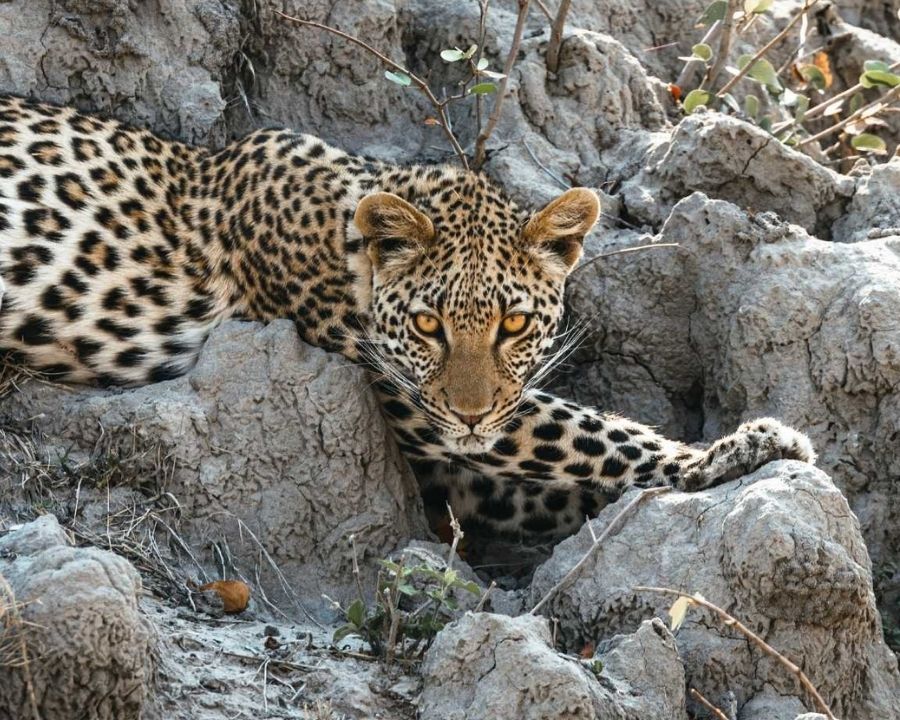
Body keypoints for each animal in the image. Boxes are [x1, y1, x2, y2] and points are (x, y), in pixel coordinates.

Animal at [0, 94, 815, 542]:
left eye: (513, 327)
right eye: (428, 327)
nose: (472, 414)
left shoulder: (458, 453)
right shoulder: (419, 409)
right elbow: (593, 438)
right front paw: (745, 447)